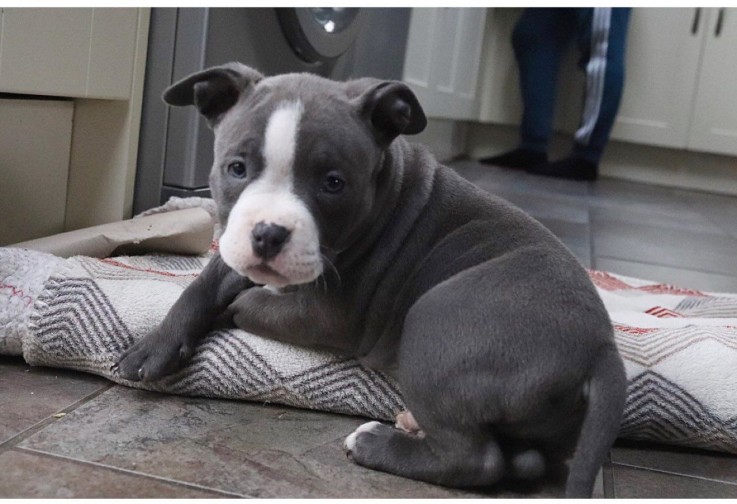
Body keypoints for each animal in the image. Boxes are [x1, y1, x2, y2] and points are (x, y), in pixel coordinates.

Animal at [113, 62, 620, 496]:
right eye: (235, 168)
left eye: (333, 183)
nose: (269, 234)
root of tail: (603, 350)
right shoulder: (237, 247)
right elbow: (205, 282)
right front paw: (154, 345)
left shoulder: (322, 315)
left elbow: (243, 303)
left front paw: (237, 303)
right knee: (525, 460)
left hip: (433, 324)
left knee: (475, 459)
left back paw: (376, 444)